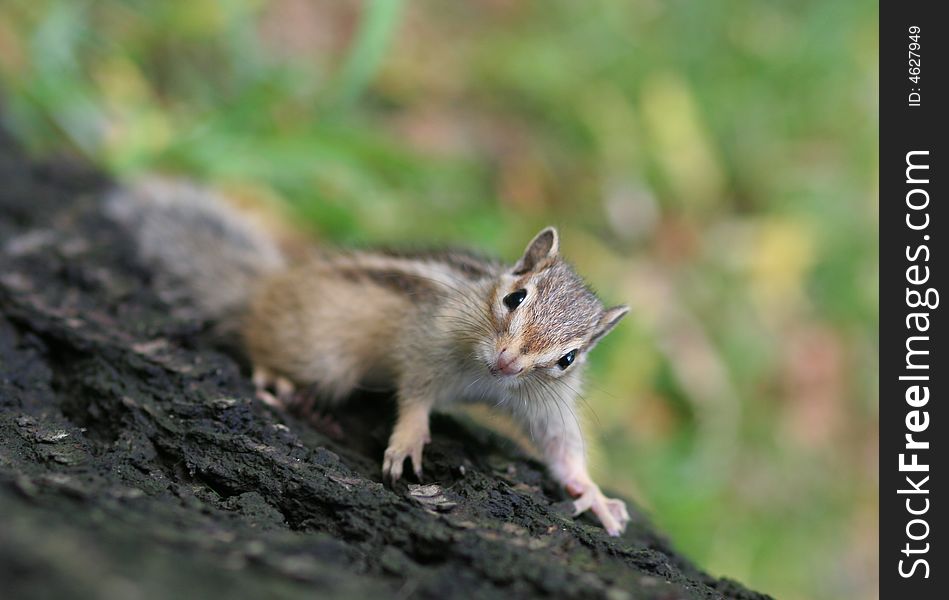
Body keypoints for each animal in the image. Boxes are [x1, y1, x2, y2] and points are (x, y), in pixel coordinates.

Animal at [107, 177, 628, 536]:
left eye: (568, 359)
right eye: (515, 298)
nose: (508, 363)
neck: (488, 379)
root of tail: (265, 288)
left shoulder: (545, 402)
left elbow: (561, 446)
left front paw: (594, 494)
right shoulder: (427, 344)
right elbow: (414, 392)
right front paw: (409, 439)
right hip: (323, 359)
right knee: (257, 345)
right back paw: (278, 379)